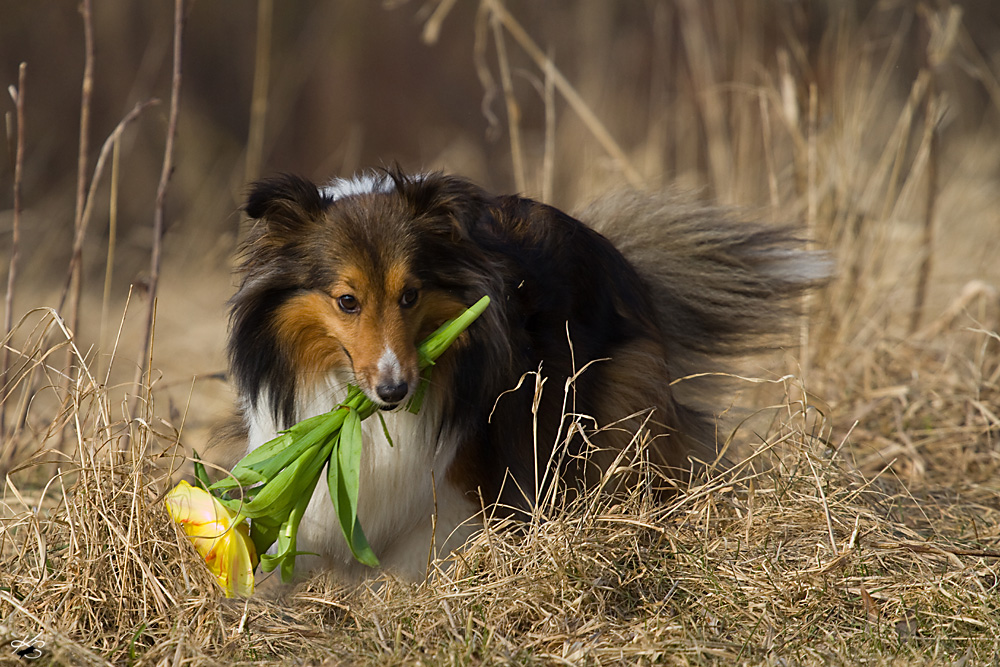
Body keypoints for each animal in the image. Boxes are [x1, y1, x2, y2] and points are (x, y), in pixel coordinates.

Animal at [227, 170, 828, 580]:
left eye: (411, 294)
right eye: (347, 301)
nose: (395, 391)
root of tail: (617, 258)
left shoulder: (456, 485)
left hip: (606, 421)